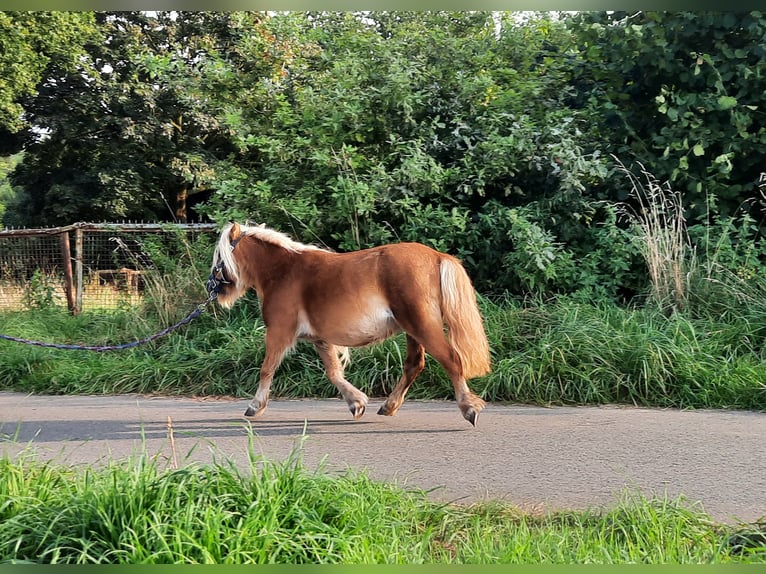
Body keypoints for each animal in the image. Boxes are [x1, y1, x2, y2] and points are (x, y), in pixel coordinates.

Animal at [212, 223, 492, 426]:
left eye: (219, 255)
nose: (212, 287)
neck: (283, 271)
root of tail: (436, 256)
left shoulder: (279, 333)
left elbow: (267, 369)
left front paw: (255, 406)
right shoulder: (320, 339)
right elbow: (334, 373)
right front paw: (356, 402)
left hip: (422, 325)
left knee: (452, 360)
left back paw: (468, 408)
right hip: (413, 330)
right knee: (415, 364)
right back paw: (389, 406)